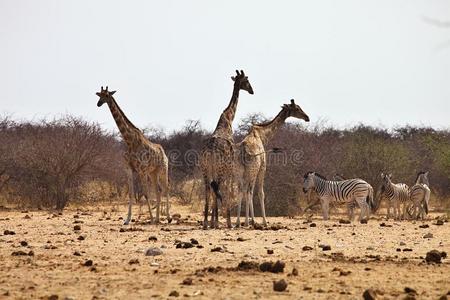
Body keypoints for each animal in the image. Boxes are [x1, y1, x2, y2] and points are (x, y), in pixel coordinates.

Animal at [96, 85, 171, 224]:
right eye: (99, 95)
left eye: (107, 95)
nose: (98, 104)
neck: (129, 140)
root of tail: (164, 153)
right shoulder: (129, 169)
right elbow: (131, 193)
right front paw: (127, 219)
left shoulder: (141, 170)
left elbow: (145, 193)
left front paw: (150, 218)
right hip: (153, 173)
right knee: (158, 190)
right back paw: (158, 218)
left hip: (163, 169)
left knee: (166, 188)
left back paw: (167, 218)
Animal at [200, 70, 253, 230]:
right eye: (246, 80)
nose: (252, 91)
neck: (228, 119)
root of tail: (210, 152)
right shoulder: (231, 169)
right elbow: (229, 191)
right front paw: (227, 222)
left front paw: (213, 222)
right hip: (220, 170)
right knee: (217, 188)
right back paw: (219, 222)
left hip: (205, 170)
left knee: (208, 190)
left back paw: (206, 223)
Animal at [236, 99, 310, 227]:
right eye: (297, 108)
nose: (307, 117)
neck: (263, 135)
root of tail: (244, 151)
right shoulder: (263, 166)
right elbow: (260, 193)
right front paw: (262, 222)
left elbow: (249, 191)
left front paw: (252, 220)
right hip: (252, 170)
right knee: (249, 191)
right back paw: (246, 223)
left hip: (242, 171)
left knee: (242, 190)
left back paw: (238, 223)